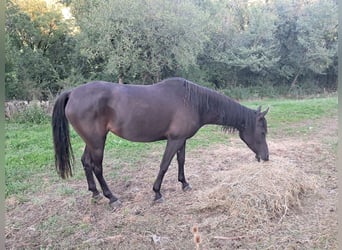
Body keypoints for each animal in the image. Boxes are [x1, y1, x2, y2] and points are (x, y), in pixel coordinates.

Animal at [52, 77, 268, 208]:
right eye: (262, 132)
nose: (266, 157)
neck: (192, 102)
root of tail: (72, 93)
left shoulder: (182, 140)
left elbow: (181, 161)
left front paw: (184, 184)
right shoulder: (174, 140)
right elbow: (164, 165)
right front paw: (157, 193)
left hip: (91, 140)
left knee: (86, 162)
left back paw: (95, 193)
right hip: (98, 141)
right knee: (97, 167)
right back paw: (111, 198)